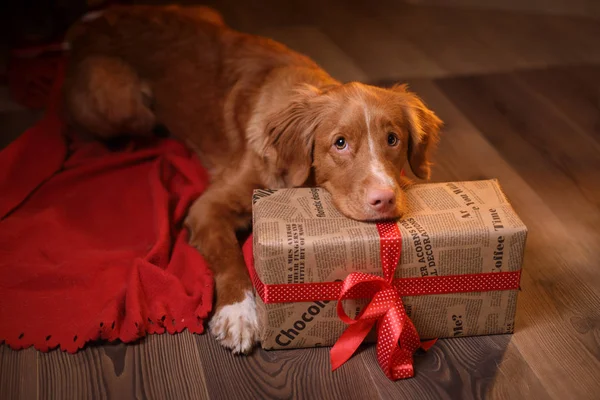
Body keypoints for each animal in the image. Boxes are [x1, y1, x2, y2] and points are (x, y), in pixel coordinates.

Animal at [62, 5, 440, 354]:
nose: (385, 199)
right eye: (340, 143)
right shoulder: (207, 207)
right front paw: (238, 313)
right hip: (121, 101)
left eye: (392, 139)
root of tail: (92, 23)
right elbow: (230, 257)